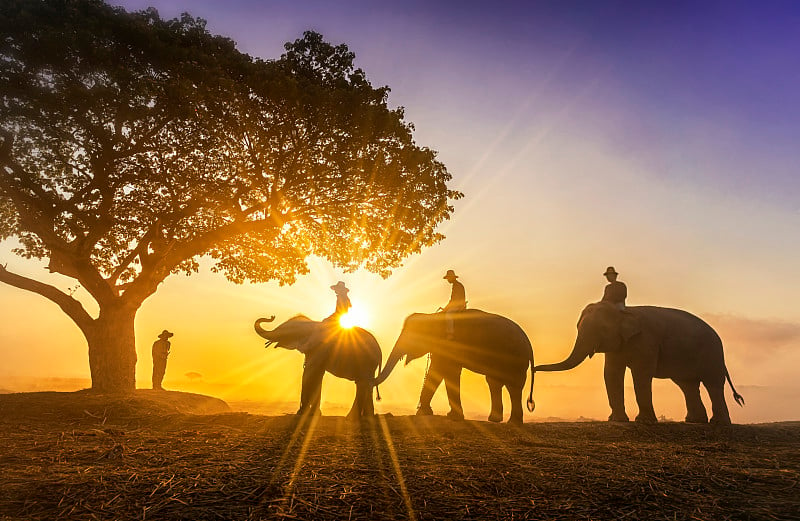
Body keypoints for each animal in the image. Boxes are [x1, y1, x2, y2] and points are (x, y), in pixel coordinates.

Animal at [374, 308, 536, 422]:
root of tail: (528, 343)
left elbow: (450, 372)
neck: (433, 316)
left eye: (412, 336)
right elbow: (436, 371)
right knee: (494, 382)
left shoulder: (452, 346)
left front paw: (453, 417)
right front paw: (424, 413)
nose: (379, 398)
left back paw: (513, 422)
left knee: (513, 386)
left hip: (516, 359)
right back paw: (495, 420)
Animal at [532, 300, 744, 422]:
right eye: (577, 327)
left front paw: (643, 421)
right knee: (687, 385)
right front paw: (616, 420)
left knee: (712, 384)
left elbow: (641, 374)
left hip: (712, 355)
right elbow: (611, 373)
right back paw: (694, 421)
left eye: (602, 328)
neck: (623, 312)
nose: (533, 368)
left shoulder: (646, 341)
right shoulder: (618, 345)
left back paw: (718, 423)